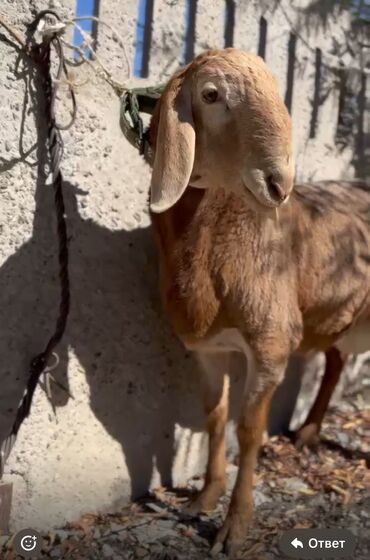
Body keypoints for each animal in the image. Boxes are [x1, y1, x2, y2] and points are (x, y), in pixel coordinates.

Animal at [146, 48, 368, 556]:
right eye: (211, 95)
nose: (279, 184)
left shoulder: (271, 343)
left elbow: (247, 430)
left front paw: (234, 526)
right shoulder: (207, 348)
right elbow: (215, 417)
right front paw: (204, 498)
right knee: (334, 361)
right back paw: (308, 433)